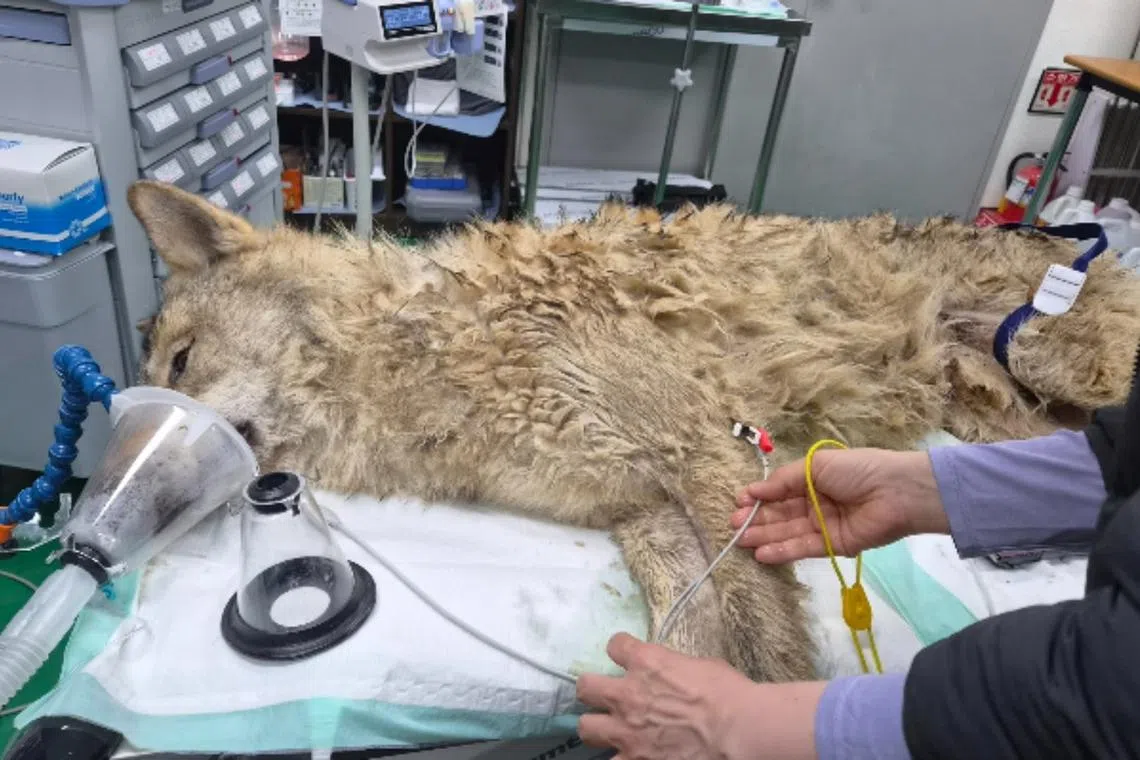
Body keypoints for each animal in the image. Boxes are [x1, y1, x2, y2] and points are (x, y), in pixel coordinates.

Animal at [127, 180, 1140, 683]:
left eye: (179, 364)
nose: (113, 530)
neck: (423, 344)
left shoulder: (706, 455)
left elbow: (769, 653)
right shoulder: (642, 510)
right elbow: (689, 636)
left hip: (1066, 365)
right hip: (995, 412)